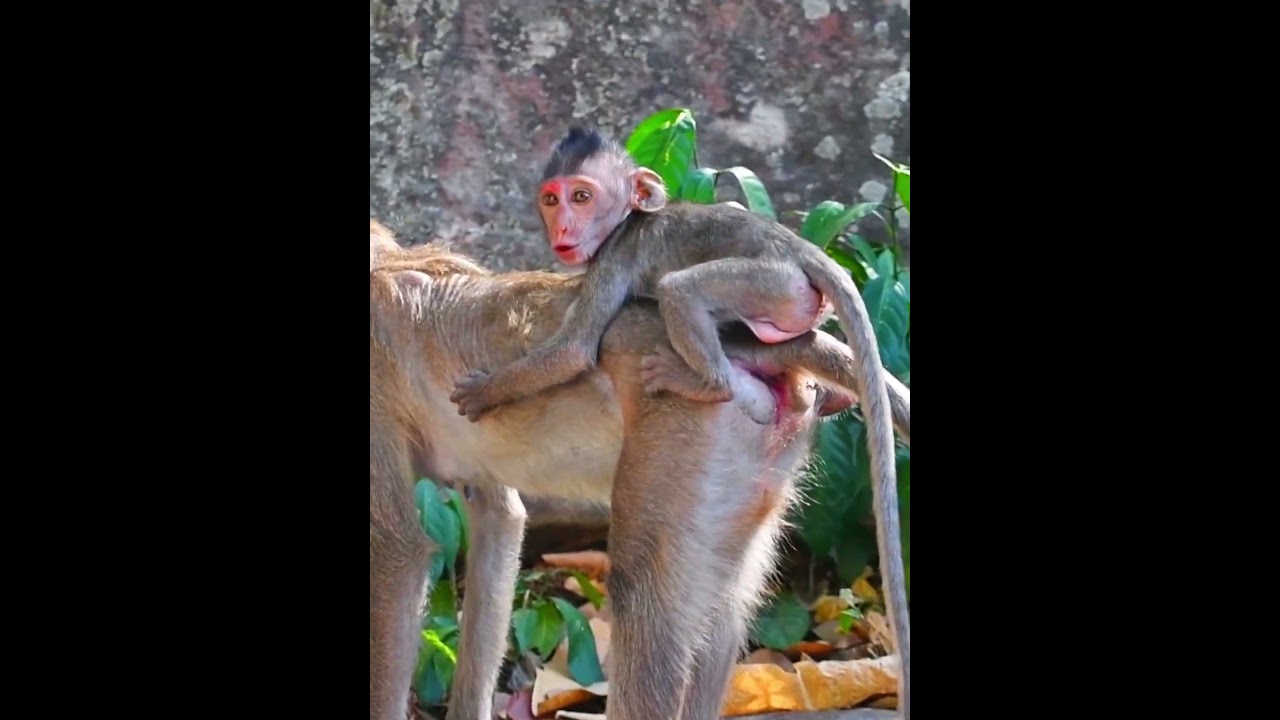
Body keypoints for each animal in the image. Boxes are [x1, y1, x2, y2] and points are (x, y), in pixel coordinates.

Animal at [444, 126, 907, 709]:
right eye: (552, 199)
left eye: (582, 196)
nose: (563, 227)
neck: (627, 222)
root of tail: (800, 249)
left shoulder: (613, 260)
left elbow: (573, 351)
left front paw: (486, 391)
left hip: (769, 282)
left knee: (681, 289)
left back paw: (708, 382)